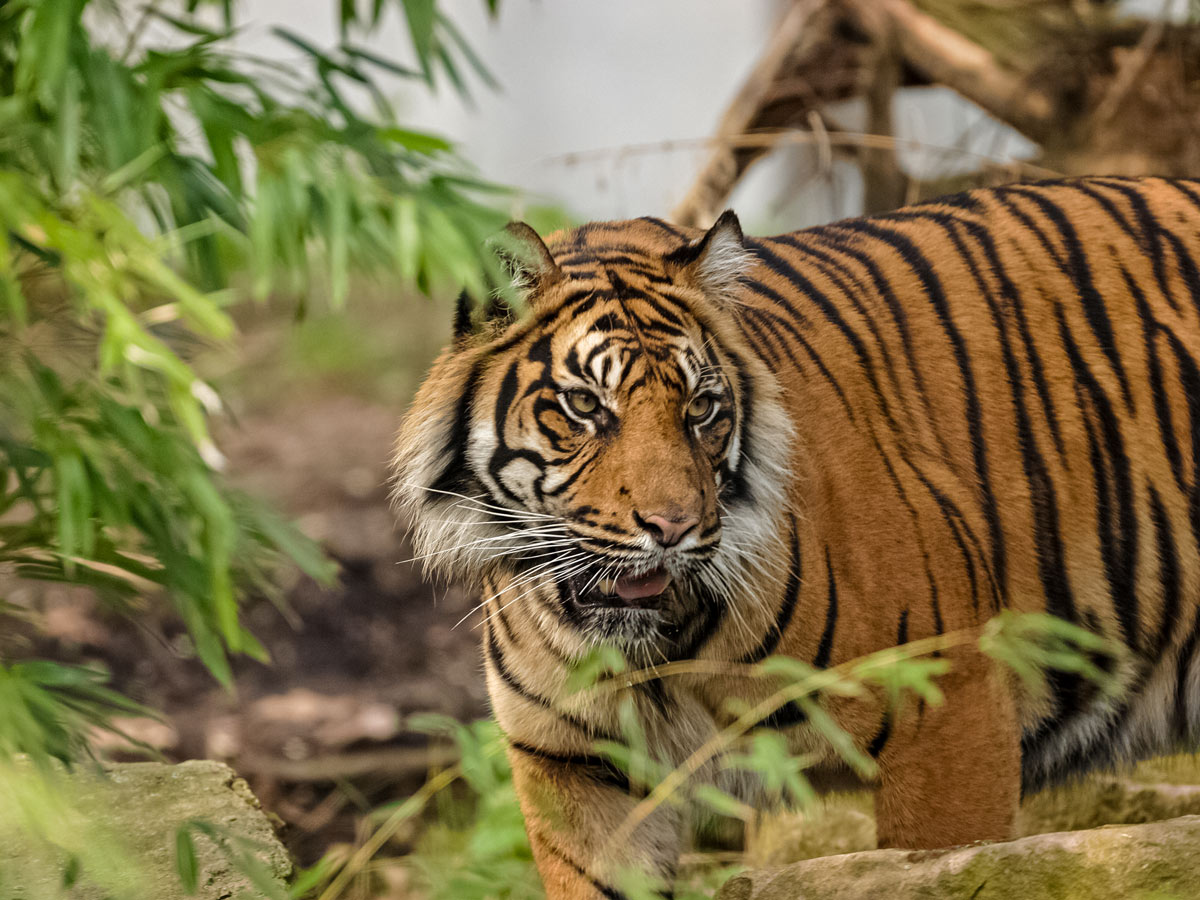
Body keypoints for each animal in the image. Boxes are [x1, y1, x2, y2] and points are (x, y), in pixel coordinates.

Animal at [393, 177, 1200, 900]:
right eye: (586, 405)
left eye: (702, 408)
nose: (672, 528)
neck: (656, 653)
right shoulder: (575, 770)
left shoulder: (948, 707)